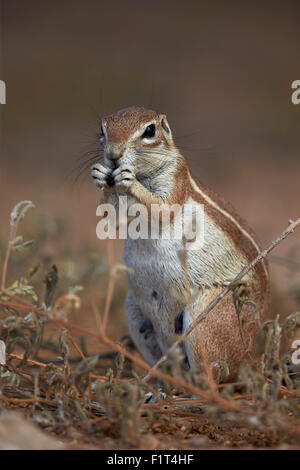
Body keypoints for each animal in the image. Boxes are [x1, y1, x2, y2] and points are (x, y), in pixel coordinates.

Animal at [91, 106, 270, 382]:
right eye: (103, 128)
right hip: (133, 309)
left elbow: (163, 209)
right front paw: (101, 175)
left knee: (213, 376)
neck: (144, 174)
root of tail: (252, 353)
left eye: (150, 130)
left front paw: (130, 181)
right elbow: (109, 217)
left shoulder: (176, 179)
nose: (112, 156)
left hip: (207, 317)